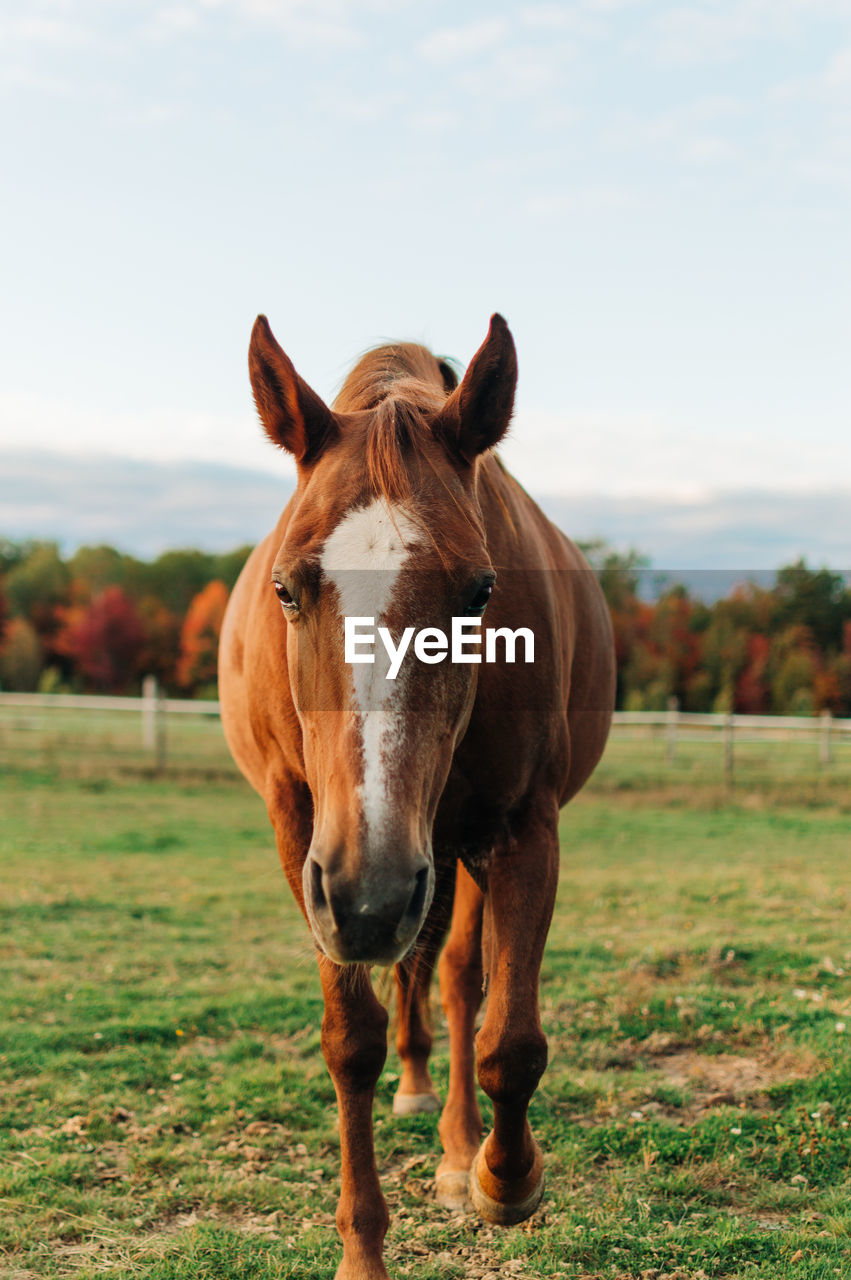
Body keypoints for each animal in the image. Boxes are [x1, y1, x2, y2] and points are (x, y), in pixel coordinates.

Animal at [218, 312, 614, 1280]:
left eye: (480, 592)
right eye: (286, 588)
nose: (370, 895)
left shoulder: (520, 829)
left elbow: (508, 1037)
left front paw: (505, 1179)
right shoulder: (305, 838)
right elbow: (349, 1041)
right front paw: (362, 1249)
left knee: (461, 977)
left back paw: (459, 1146)